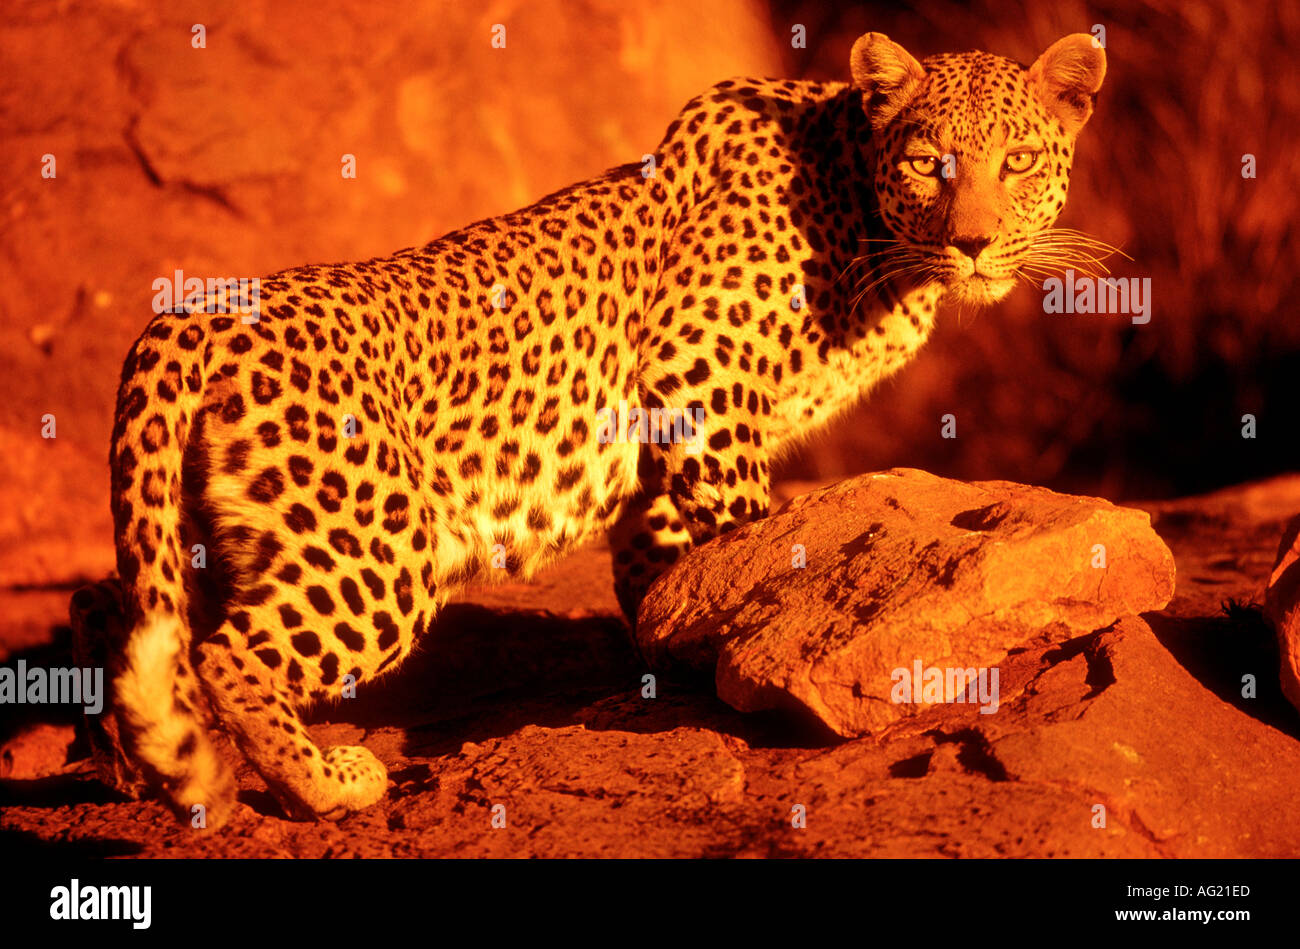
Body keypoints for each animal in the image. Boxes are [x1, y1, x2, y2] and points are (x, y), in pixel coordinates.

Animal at [70, 31, 1107, 827]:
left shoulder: (660, 440)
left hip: (203, 525)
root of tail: (196, 312)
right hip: (371, 546)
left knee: (119, 617)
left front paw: (678, 654)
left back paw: (147, 771)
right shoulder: (702, 369)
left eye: (1017, 162)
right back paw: (319, 784)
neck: (861, 211)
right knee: (226, 652)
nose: (974, 241)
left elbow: (666, 565)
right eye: (931, 161)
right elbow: (746, 526)